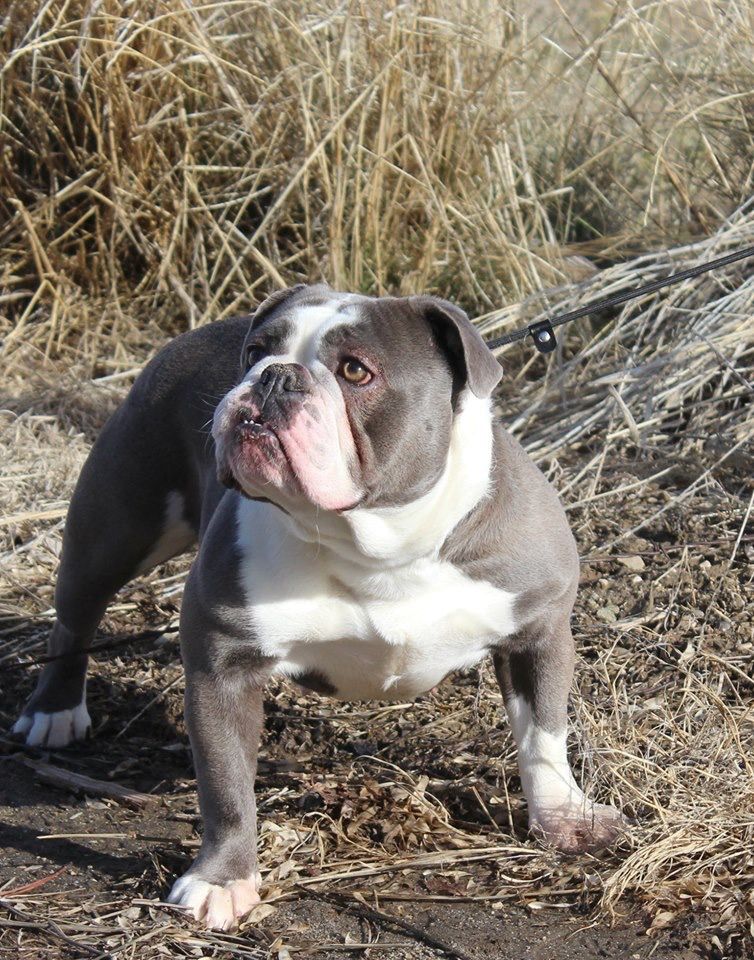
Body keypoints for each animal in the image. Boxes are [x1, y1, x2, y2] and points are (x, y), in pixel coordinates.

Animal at [14, 285, 624, 929]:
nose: (273, 375)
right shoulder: (222, 666)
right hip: (116, 526)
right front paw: (221, 881)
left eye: (356, 371)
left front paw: (565, 818)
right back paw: (53, 711)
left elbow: (544, 736)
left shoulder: (538, 632)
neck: (377, 544)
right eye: (255, 352)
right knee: (75, 617)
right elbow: (226, 786)